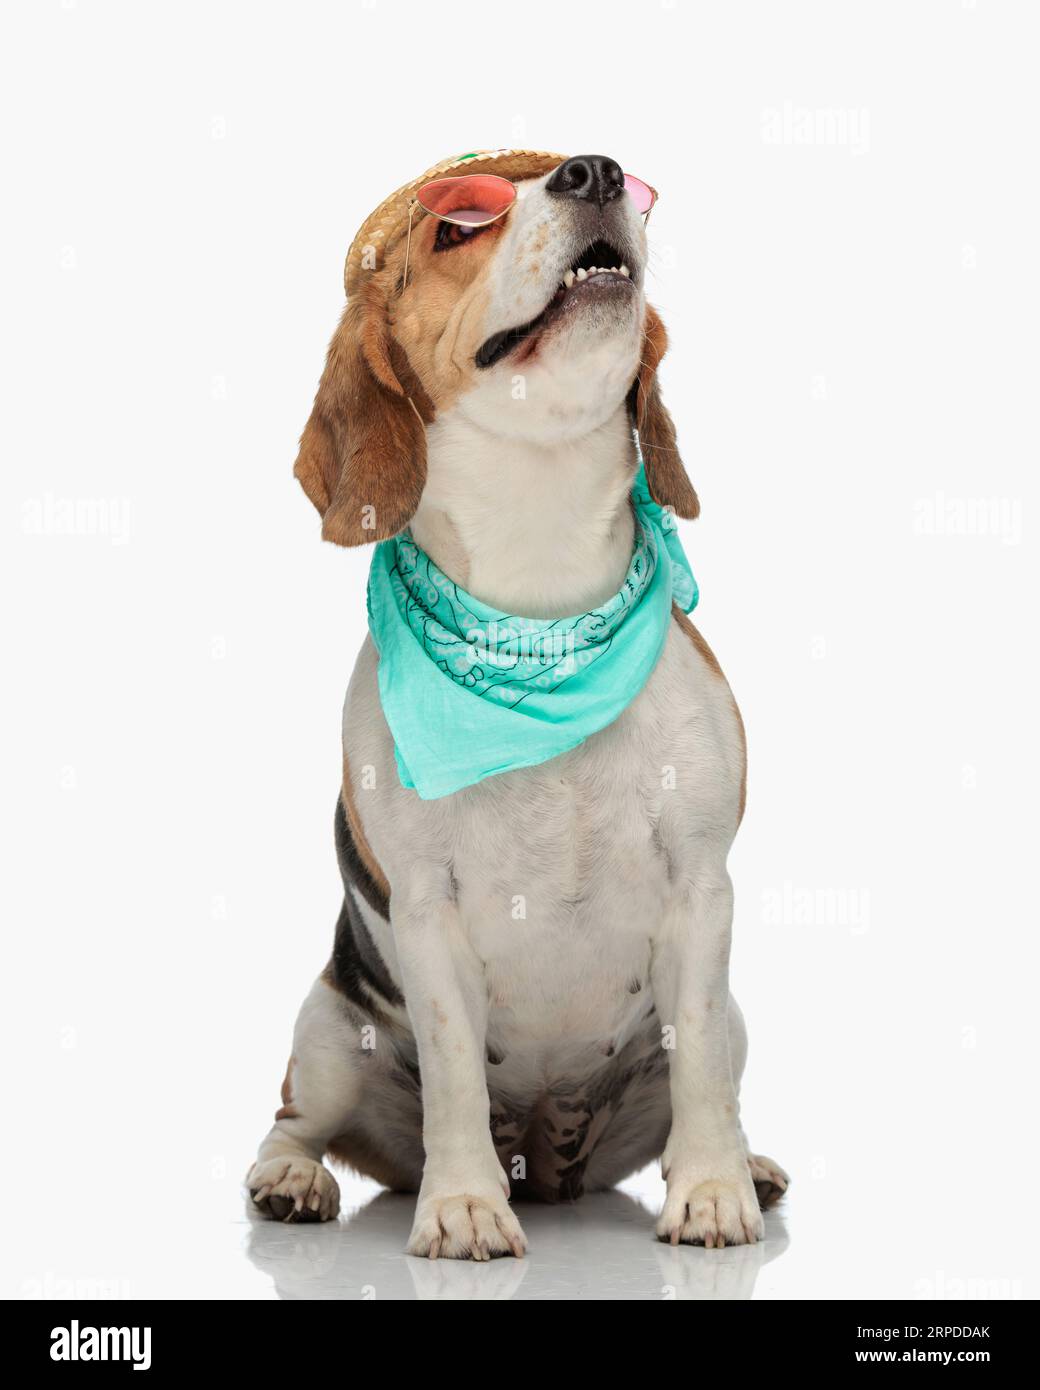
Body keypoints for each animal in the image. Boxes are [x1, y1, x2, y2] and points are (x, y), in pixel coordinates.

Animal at [247, 152, 789, 1262]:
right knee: (295, 1119)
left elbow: (702, 1068)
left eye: (611, 176)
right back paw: (291, 1182)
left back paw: (745, 1162)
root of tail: (545, 1149)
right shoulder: (426, 910)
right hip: (328, 1034)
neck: (539, 601)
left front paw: (714, 1191)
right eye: (457, 229)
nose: (592, 169)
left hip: (729, 1016)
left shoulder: (701, 888)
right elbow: (454, 1068)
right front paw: (459, 1205)